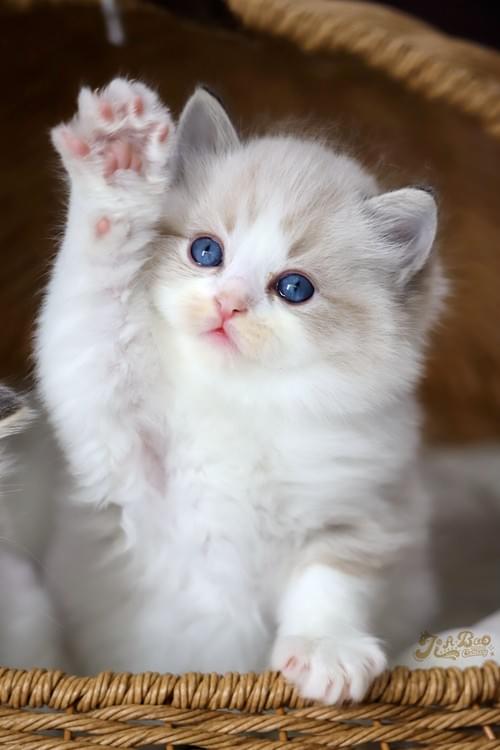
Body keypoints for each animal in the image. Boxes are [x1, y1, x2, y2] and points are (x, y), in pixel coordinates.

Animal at [36, 78, 444, 703]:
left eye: (294, 288)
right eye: (206, 252)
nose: (228, 303)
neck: (240, 404)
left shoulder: (362, 508)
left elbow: (333, 583)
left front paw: (326, 653)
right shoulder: (111, 422)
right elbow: (93, 297)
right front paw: (119, 158)